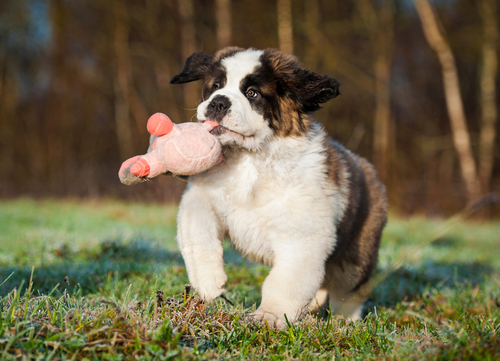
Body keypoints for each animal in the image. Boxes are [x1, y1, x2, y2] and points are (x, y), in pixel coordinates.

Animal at [170, 46, 388, 328]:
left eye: (252, 93)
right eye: (215, 87)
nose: (218, 102)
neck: (250, 159)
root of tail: (369, 170)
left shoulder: (302, 236)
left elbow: (285, 281)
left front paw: (269, 316)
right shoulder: (201, 197)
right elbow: (198, 233)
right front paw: (207, 281)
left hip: (355, 258)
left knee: (349, 292)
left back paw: (344, 323)